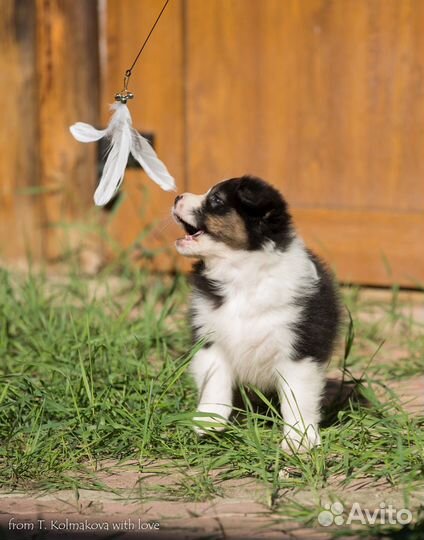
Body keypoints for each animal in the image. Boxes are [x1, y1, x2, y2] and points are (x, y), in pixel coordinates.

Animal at [172, 175, 342, 450]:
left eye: (216, 200)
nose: (177, 196)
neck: (241, 274)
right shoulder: (211, 338)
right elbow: (214, 382)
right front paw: (209, 421)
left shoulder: (299, 348)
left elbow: (297, 397)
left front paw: (299, 439)